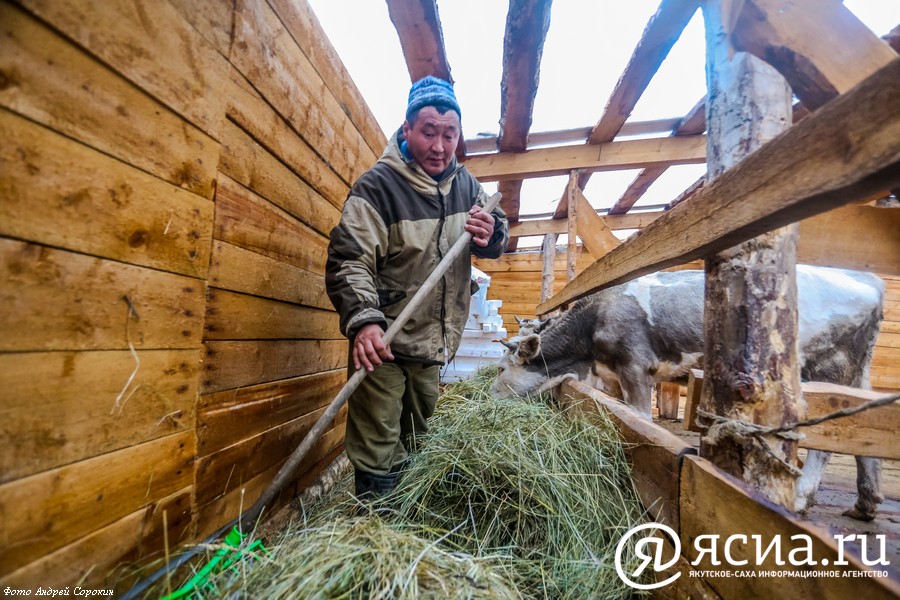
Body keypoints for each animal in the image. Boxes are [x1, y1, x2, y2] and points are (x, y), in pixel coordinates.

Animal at [496, 266, 888, 520]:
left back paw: (803, 498)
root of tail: (868, 280)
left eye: (500, 369)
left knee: (826, 441)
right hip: (856, 373)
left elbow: (638, 419)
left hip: (829, 366)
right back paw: (865, 502)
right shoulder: (610, 376)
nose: (488, 397)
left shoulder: (636, 367)